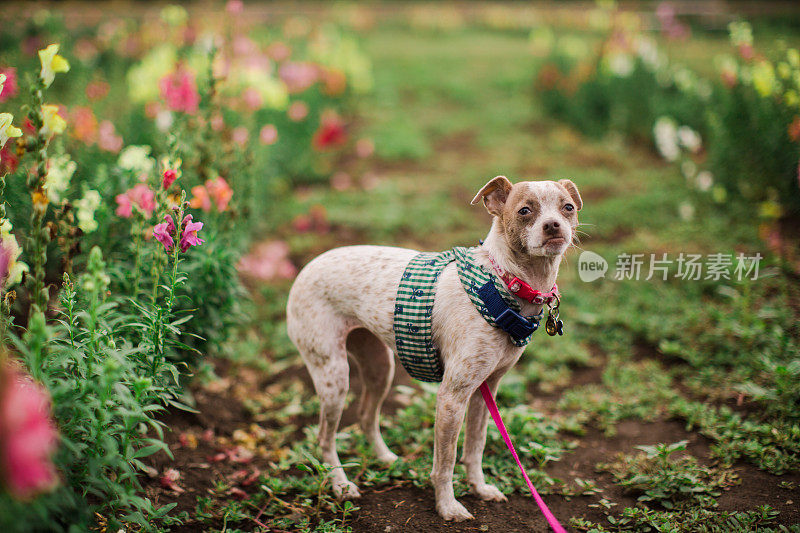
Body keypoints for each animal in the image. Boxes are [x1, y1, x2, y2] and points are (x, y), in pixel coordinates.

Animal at [288, 176, 580, 520]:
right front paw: (447, 506)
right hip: (333, 376)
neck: (501, 283)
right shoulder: (452, 397)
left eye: (568, 207)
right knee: (325, 436)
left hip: (379, 366)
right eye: (524, 211)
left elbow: (475, 446)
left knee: (366, 415)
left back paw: (386, 459)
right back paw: (341, 484)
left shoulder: (485, 390)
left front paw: (479, 488)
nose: (553, 225)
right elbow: (446, 461)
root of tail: (307, 266)